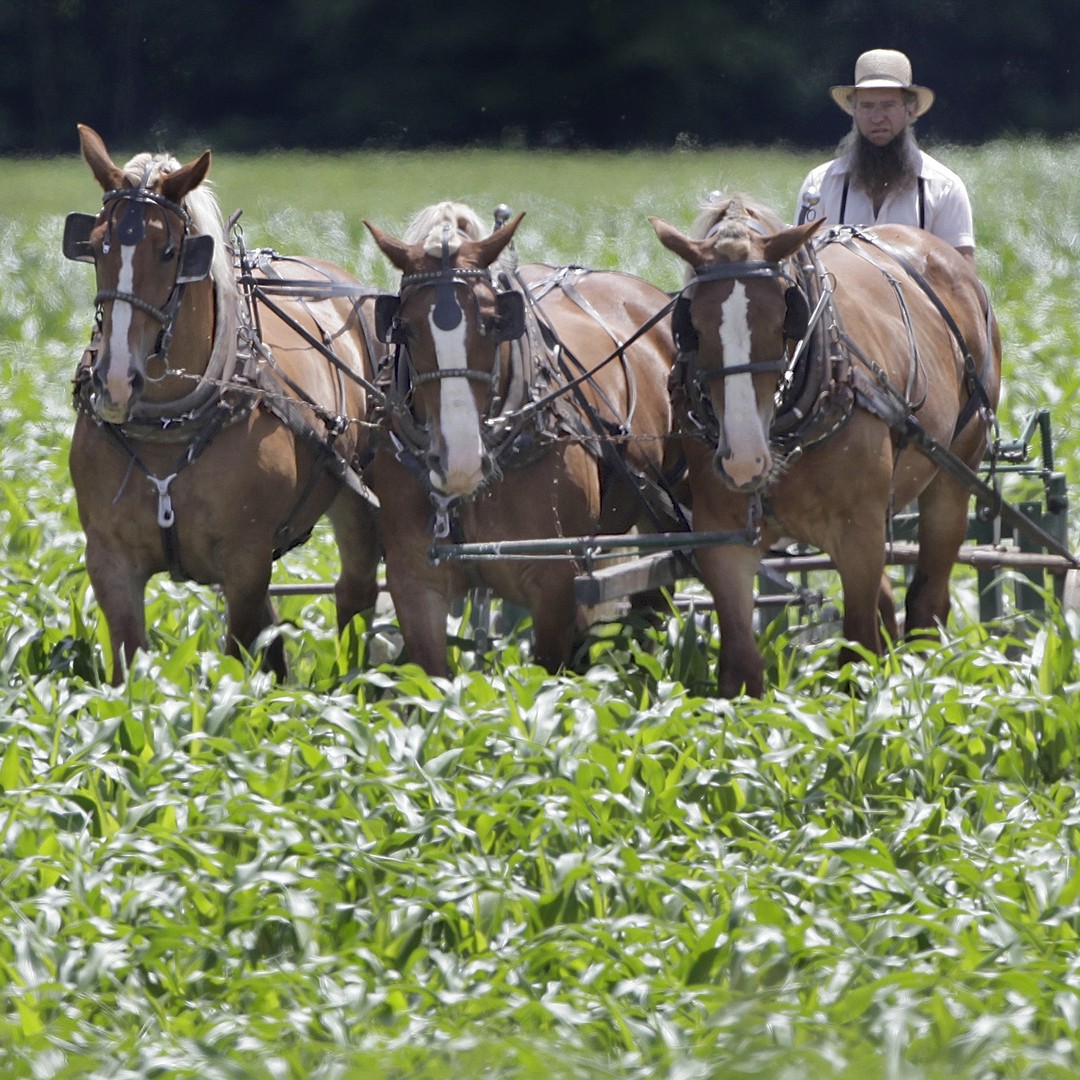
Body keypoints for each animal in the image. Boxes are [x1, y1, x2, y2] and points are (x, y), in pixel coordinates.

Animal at [63, 126, 382, 682]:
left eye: (170, 251)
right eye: (98, 244)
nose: (116, 380)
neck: (171, 423)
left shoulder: (246, 563)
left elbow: (238, 658)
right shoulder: (108, 561)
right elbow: (128, 669)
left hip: (358, 503)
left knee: (354, 595)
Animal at [362, 200, 682, 673]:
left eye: (494, 323)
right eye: (404, 327)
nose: (459, 462)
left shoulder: (555, 580)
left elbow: (547, 674)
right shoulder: (414, 579)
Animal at [643, 194, 997, 695]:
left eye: (783, 316)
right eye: (690, 324)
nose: (744, 460)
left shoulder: (859, 531)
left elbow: (857, 650)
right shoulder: (723, 539)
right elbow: (740, 668)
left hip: (954, 477)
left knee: (928, 600)